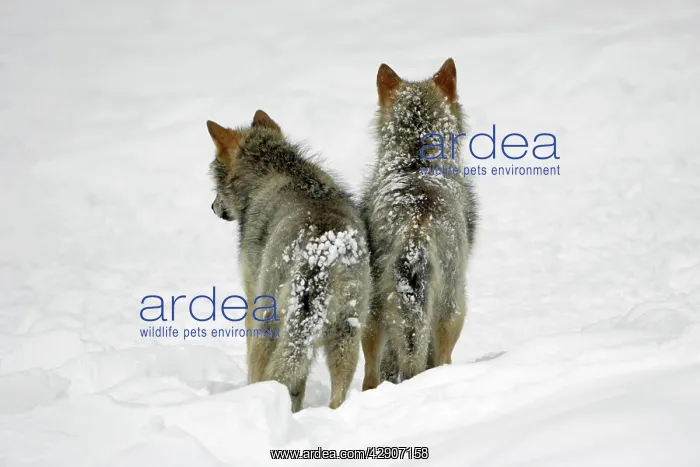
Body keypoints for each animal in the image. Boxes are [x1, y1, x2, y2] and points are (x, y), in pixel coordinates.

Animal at [206, 110, 370, 412]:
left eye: (215, 184)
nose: (213, 207)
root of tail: (323, 251)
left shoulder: (251, 301)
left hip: (270, 323)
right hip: (346, 334)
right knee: (336, 395)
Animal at [360, 58, 478, 390]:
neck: (416, 161)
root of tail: (416, 230)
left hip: (372, 316)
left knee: (371, 377)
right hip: (454, 309)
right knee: (439, 361)